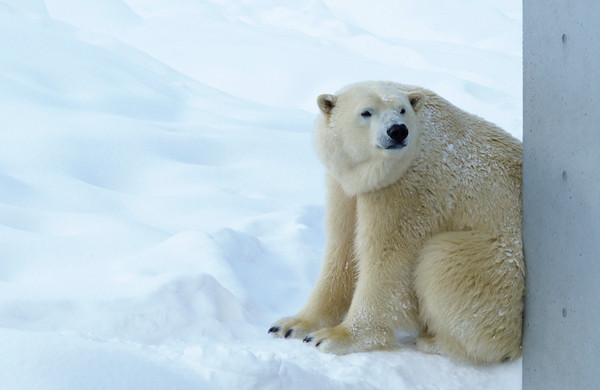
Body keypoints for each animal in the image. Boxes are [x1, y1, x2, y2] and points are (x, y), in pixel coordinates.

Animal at [270, 80, 524, 364]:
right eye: (366, 112)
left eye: (402, 110)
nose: (398, 131)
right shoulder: (345, 187)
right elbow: (342, 248)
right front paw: (291, 325)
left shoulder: (409, 190)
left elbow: (388, 260)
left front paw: (334, 337)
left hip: (500, 263)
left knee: (443, 262)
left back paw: (435, 342)